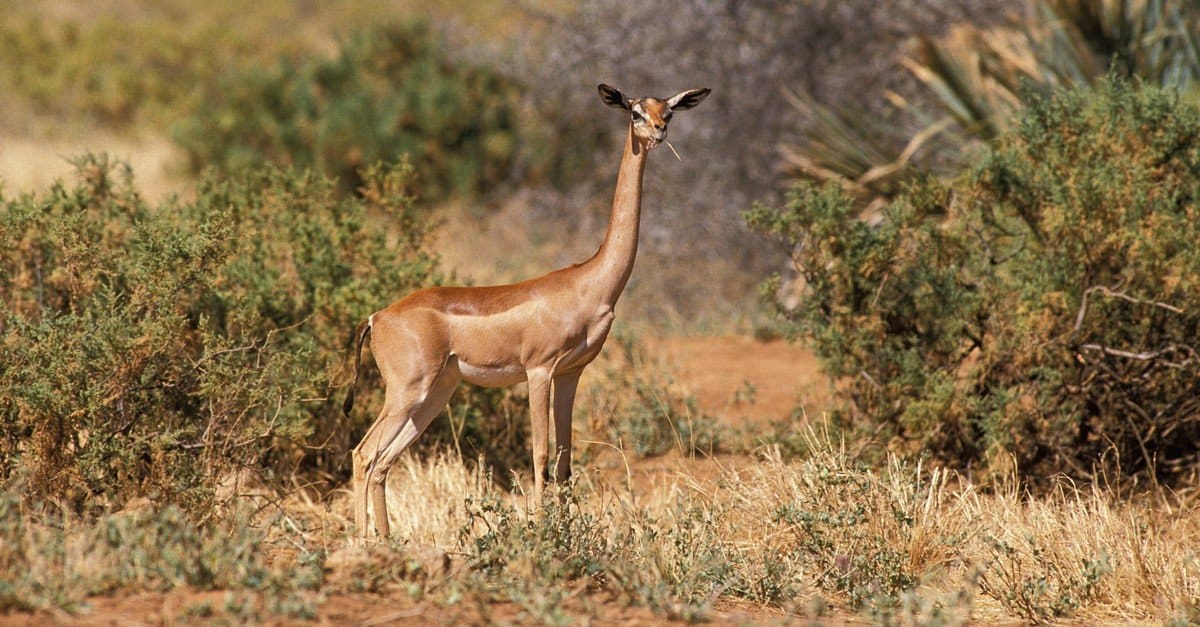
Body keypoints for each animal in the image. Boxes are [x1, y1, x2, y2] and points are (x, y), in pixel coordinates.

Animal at [343, 81, 705, 530]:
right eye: (634, 112)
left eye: (667, 112)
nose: (658, 131)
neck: (591, 285)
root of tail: (377, 318)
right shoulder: (539, 370)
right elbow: (540, 452)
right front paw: (542, 529)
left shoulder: (571, 373)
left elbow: (565, 460)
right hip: (407, 391)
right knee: (363, 454)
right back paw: (362, 540)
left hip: (434, 395)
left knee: (383, 462)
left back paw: (388, 540)